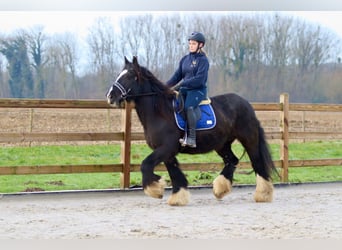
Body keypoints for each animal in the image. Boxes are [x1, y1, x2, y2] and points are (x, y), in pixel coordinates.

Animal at [105, 56, 276, 205]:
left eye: (130, 76)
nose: (110, 96)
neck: (160, 112)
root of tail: (246, 104)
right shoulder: (167, 152)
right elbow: (175, 173)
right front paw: (177, 197)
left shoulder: (166, 148)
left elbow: (145, 165)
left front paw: (156, 189)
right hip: (222, 144)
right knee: (232, 160)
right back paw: (220, 189)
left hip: (249, 139)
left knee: (257, 162)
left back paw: (263, 194)